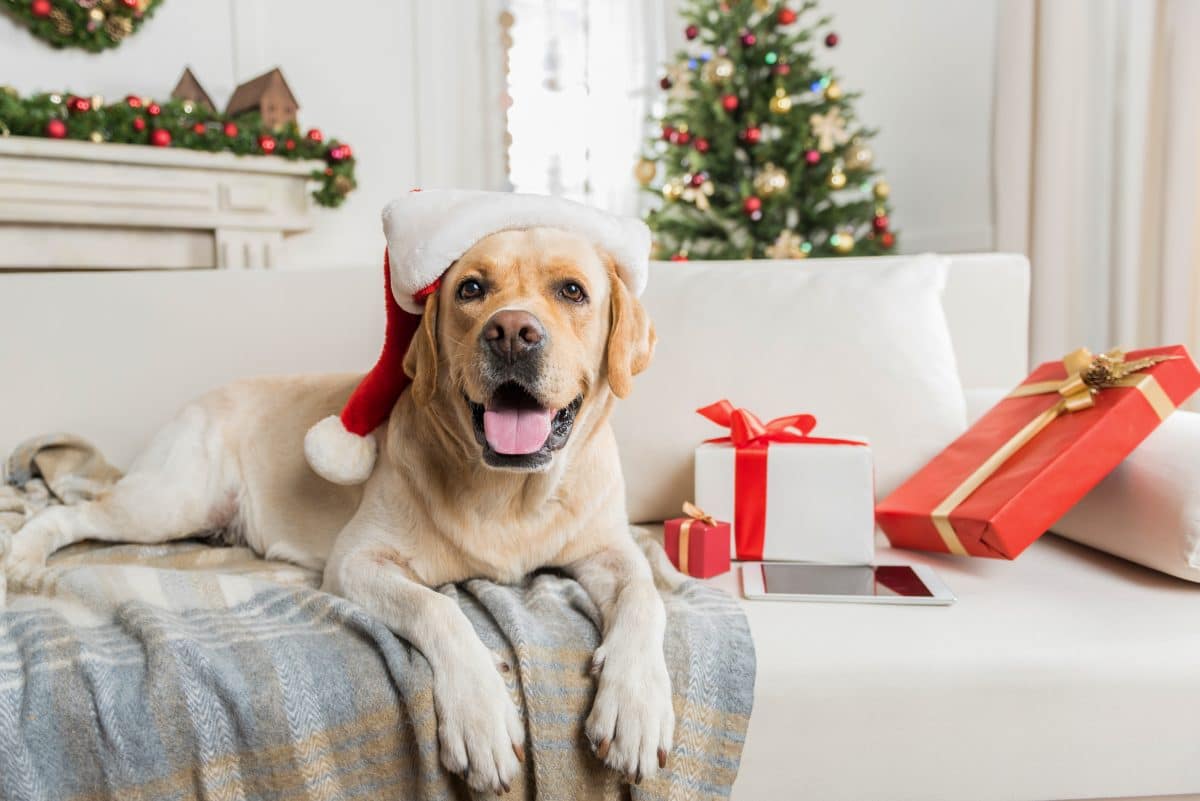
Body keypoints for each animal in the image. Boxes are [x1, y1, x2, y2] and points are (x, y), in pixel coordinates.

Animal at [4, 225, 672, 786]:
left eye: (572, 291)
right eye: (471, 289)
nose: (511, 332)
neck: (510, 492)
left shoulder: (610, 550)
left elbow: (647, 597)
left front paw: (636, 703)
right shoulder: (357, 560)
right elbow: (438, 609)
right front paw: (480, 714)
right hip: (170, 502)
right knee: (70, 511)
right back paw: (24, 556)